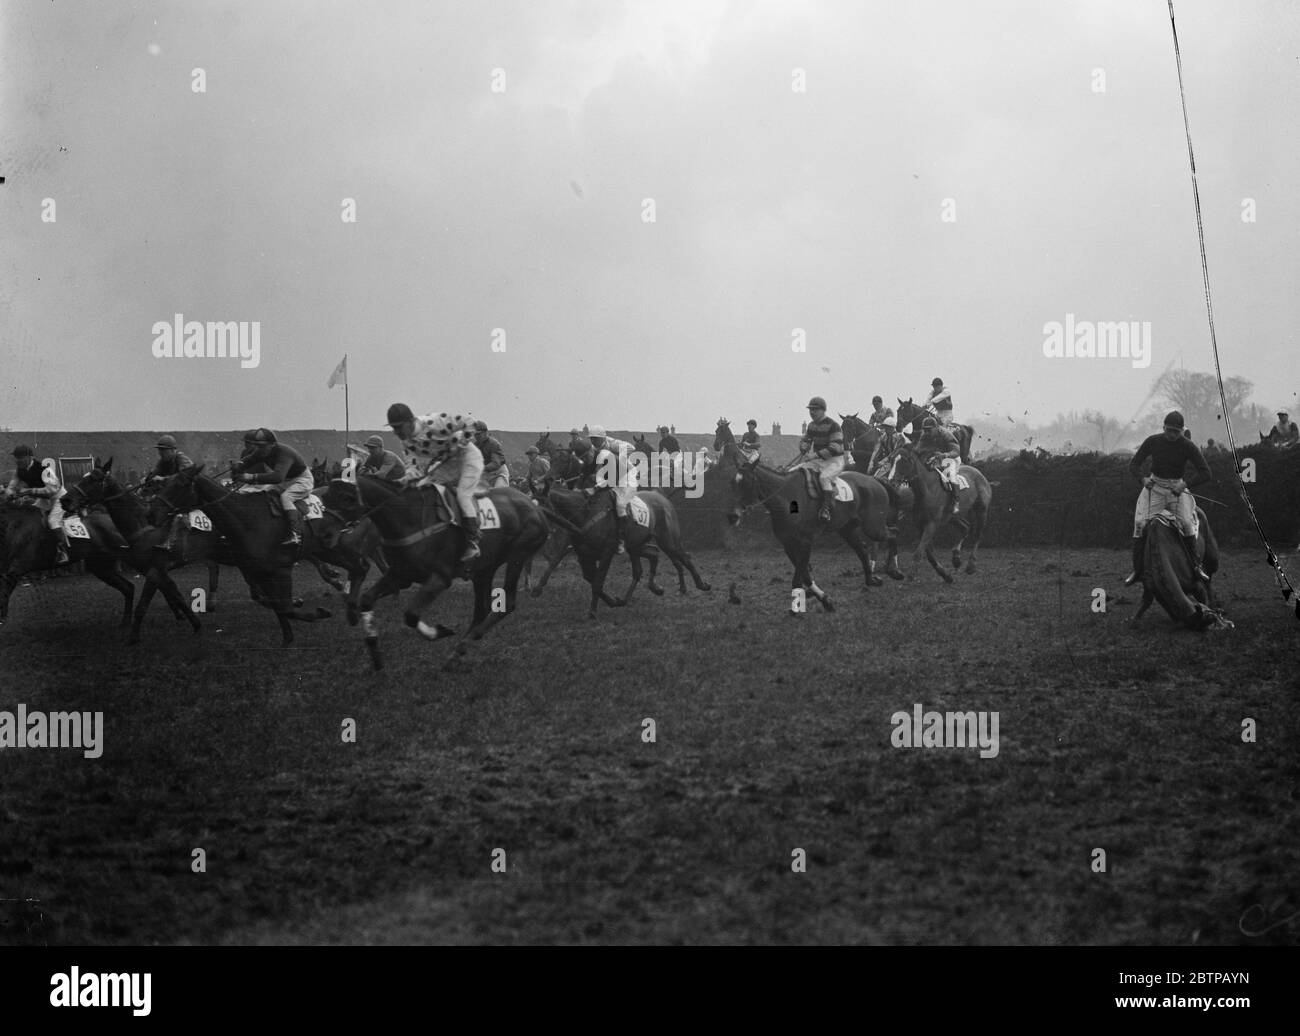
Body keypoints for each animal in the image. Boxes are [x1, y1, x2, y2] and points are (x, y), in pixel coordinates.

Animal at [340, 473, 548, 665]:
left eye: (346, 497)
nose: (341, 538)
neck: (409, 518)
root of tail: (536, 508)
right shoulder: (401, 573)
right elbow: (367, 599)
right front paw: (373, 646)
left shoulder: (440, 577)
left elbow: (411, 615)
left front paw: (438, 632)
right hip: (485, 568)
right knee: (482, 609)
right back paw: (459, 651)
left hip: (517, 556)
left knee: (508, 604)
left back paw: (465, 644)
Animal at [538, 483, 712, 618]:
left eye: (542, 507)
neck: (585, 513)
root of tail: (661, 497)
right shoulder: (584, 555)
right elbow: (590, 578)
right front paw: (612, 602)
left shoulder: (606, 552)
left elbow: (597, 582)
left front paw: (593, 612)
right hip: (635, 546)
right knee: (647, 561)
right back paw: (646, 592)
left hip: (668, 541)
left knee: (683, 558)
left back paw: (700, 585)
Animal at [722, 439, 904, 610]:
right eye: (732, 483)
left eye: (747, 483)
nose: (732, 516)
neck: (788, 499)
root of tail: (874, 480)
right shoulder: (788, 544)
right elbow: (805, 576)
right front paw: (825, 600)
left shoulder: (805, 541)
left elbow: (798, 578)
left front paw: (797, 608)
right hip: (847, 529)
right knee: (862, 550)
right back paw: (872, 579)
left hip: (873, 527)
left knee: (893, 533)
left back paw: (894, 571)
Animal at [878, 439, 987, 577]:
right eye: (891, 459)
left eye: (905, 461)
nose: (890, 482)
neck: (927, 489)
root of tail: (979, 473)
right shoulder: (921, 524)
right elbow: (928, 553)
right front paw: (945, 574)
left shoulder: (932, 524)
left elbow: (919, 552)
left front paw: (912, 575)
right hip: (953, 517)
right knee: (966, 527)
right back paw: (956, 558)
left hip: (981, 510)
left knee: (978, 535)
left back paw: (971, 565)